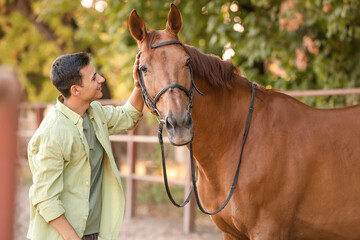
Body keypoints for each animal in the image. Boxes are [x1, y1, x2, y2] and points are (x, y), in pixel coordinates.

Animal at [128, 3, 360, 240]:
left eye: (187, 61)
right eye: (143, 68)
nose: (180, 124)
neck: (237, 138)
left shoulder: (268, 231)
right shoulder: (231, 233)